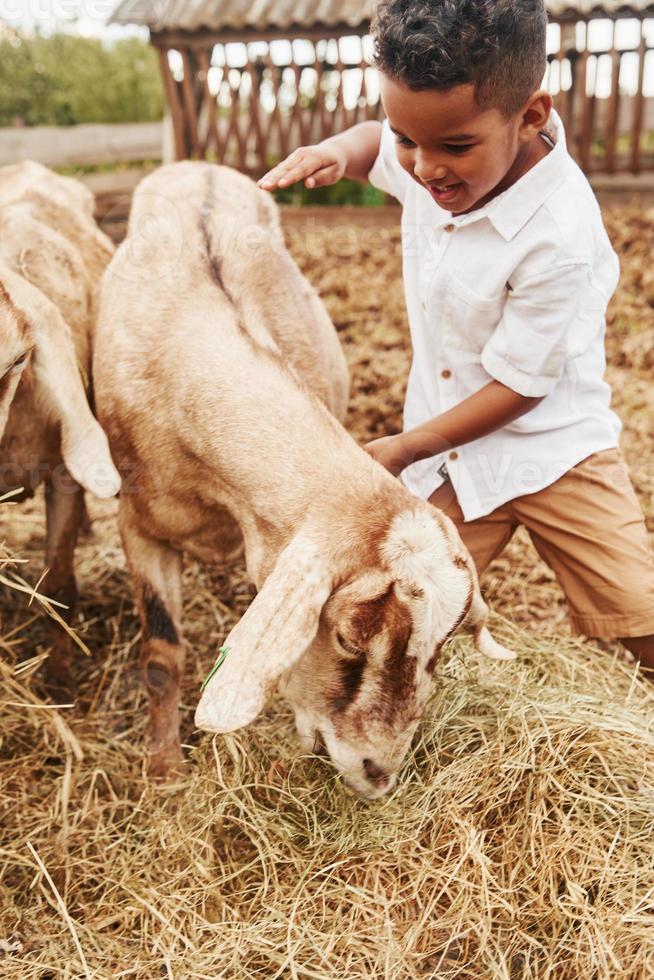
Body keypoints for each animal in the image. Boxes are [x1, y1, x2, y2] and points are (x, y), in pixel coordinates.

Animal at [93, 161, 512, 800]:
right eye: (347, 638)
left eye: (440, 648)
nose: (379, 774)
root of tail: (200, 165)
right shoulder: (138, 525)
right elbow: (162, 656)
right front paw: (165, 772)